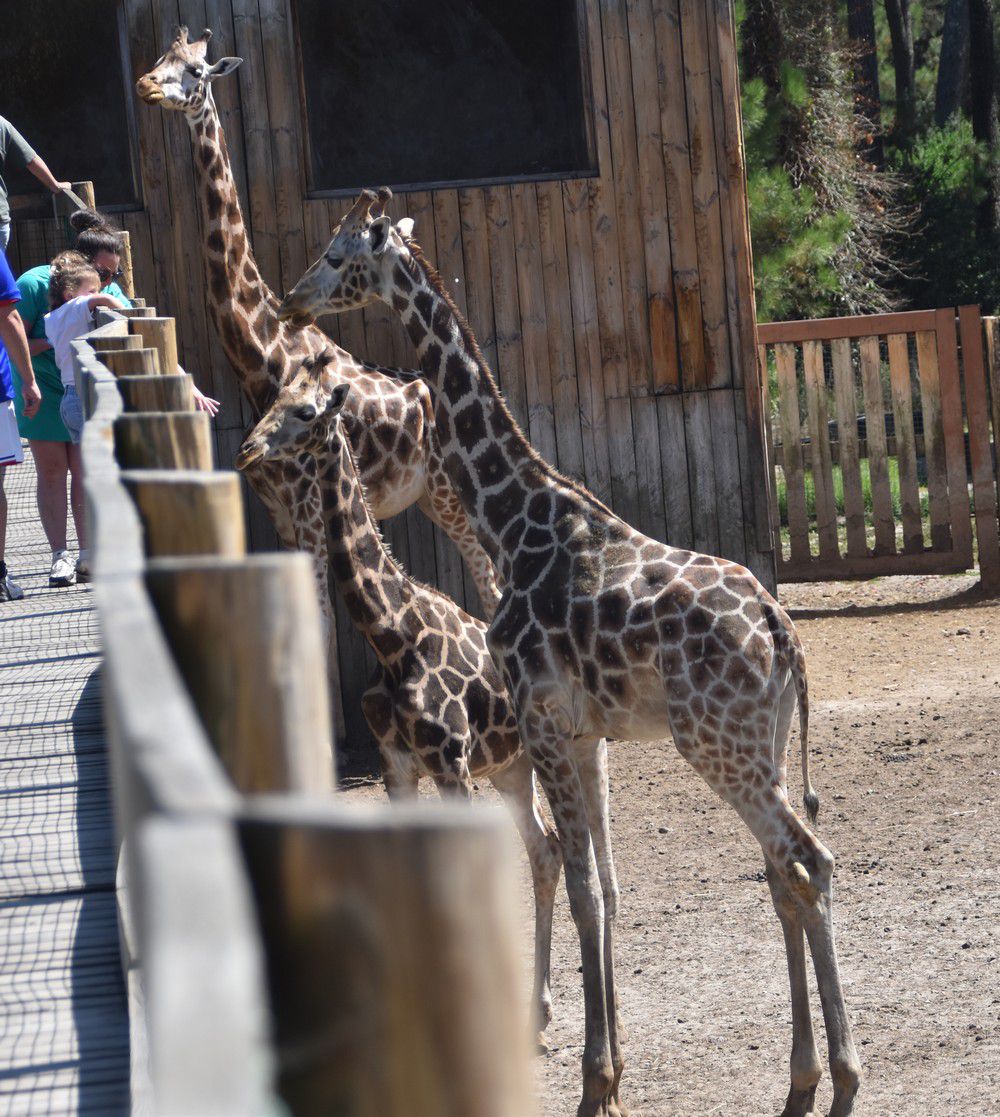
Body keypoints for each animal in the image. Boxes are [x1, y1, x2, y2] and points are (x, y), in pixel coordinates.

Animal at [132, 28, 500, 621]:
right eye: (161, 59)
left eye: (196, 71)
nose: (145, 85)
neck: (260, 356)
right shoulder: (281, 515)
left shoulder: (307, 513)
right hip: (426, 496)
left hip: (448, 494)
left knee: (489, 579)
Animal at [232, 359, 563, 1045]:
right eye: (273, 398)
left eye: (306, 411)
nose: (247, 449)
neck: (391, 637)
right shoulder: (398, 766)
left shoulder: (451, 764)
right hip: (510, 768)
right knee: (544, 852)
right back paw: (537, 1008)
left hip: (548, 752)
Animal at [273, 189, 858, 1117]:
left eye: (337, 256)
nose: (294, 298)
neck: (513, 519)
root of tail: (781, 627)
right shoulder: (584, 736)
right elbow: (606, 887)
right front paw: (608, 1066)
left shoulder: (542, 719)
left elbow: (579, 885)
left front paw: (596, 1079)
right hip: (759, 743)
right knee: (781, 871)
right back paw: (800, 1074)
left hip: (718, 746)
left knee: (808, 862)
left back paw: (841, 1073)